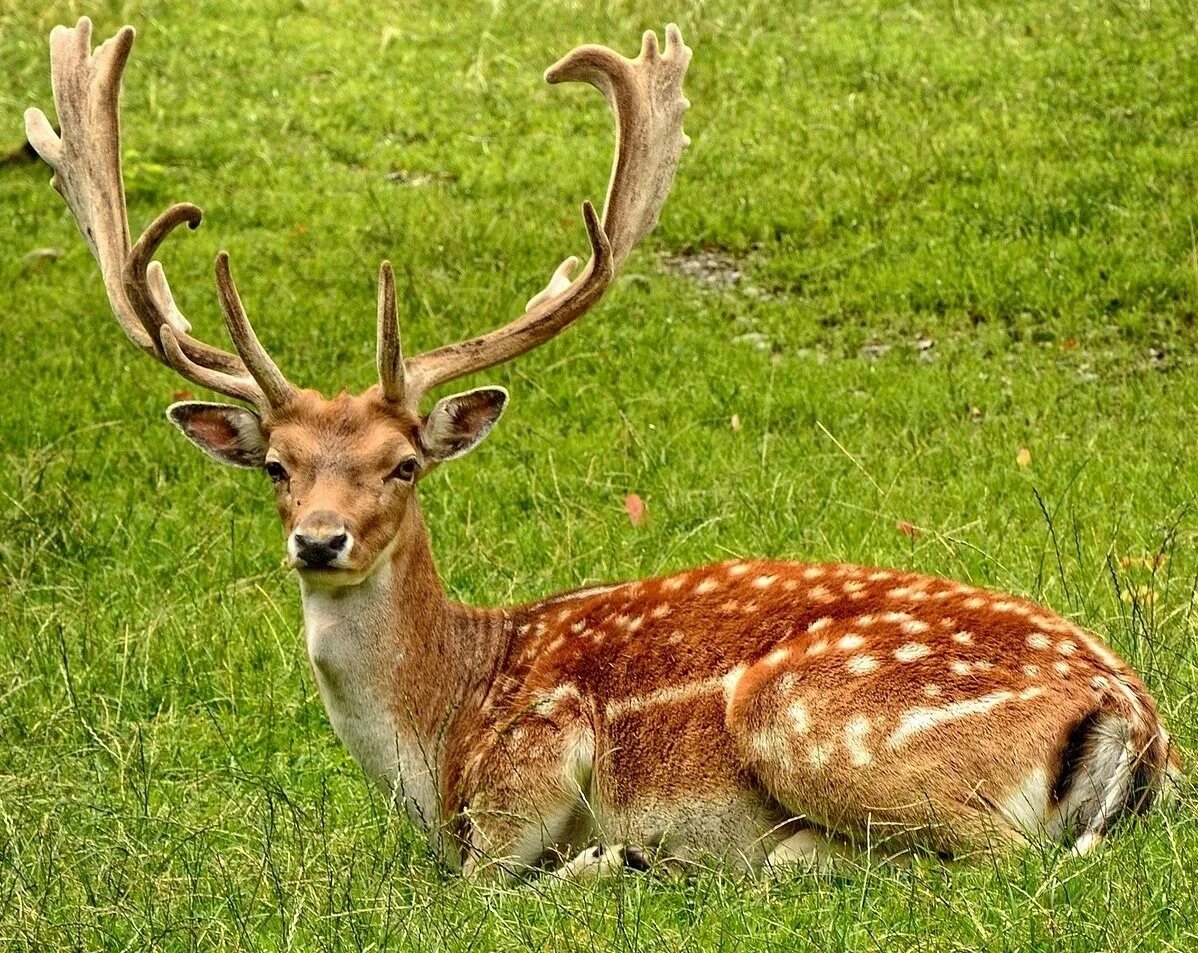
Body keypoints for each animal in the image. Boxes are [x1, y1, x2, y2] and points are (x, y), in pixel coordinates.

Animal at [28, 18, 1178, 882]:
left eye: (405, 463)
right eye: (278, 465)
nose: (319, 539)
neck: (439, 731)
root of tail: (1133, 715)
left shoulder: (528, 766)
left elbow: (485, 883)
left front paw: (608, 858)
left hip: (810, 717)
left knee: (992, 858)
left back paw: (730, 858)